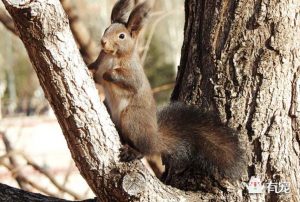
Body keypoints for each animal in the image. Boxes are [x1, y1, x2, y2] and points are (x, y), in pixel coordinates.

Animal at [88, 0, 245, 185]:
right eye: (106, 29)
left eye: (121, 36)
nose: (103, 42)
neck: (112, 57)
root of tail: (155, 138)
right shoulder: (99, 62)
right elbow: (95, 70)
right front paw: (90, 70)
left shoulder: (133, 74)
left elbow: (128, 81)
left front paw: (108, 74)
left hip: (132, 120)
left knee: (145, 150)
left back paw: (133, 152)